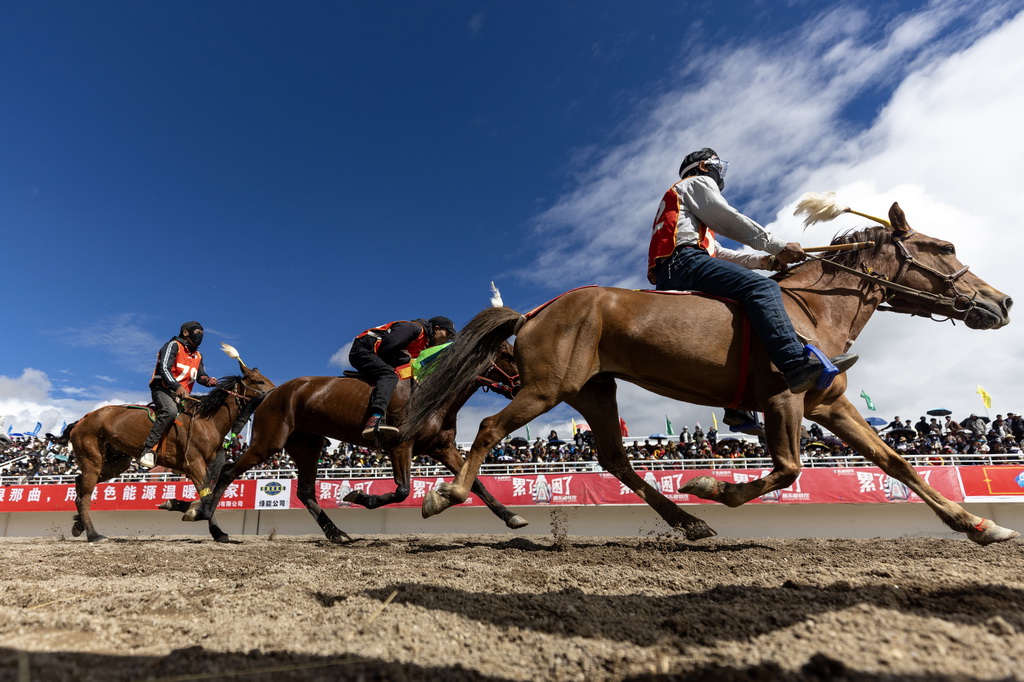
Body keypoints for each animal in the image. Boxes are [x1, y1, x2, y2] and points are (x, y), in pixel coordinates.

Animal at [64, 361, 274, 542]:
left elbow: (209, 496)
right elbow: (206, 497)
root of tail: (82, 420)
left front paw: (189, 511)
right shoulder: (195, 465)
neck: (207, 421)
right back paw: (93, 535)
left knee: (79, 484)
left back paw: (79, 525)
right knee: (84, 497)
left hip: (115, 463)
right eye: (259, 381)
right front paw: (208, 524)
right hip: (93, 460)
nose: (274, 393)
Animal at [184, 342, 525, 541]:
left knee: (305, 491)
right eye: (509, 355)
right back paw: (209, 520)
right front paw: (359, 496)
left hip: (307, 445)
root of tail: (271, 393)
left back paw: (335, 533)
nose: (522, 385)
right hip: (267, 443)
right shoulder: (400, 445)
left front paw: (511, 517)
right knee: (228, 471)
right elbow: (402, 491)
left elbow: (475, 483)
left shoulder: (441, 447)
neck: (433, 391)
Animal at [403, 201, 1019, 545]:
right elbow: (788, 469)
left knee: (616, 461)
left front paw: (979, 525)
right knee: (488, 430)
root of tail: (534, 312)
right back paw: (446, 495)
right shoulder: (784, 399)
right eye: (944, 246)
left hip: (593, 391)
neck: (814, 309)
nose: (1003, 301)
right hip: (545, 389)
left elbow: (896, 462)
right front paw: (709, 484)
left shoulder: (829, 404)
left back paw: (688, 523)